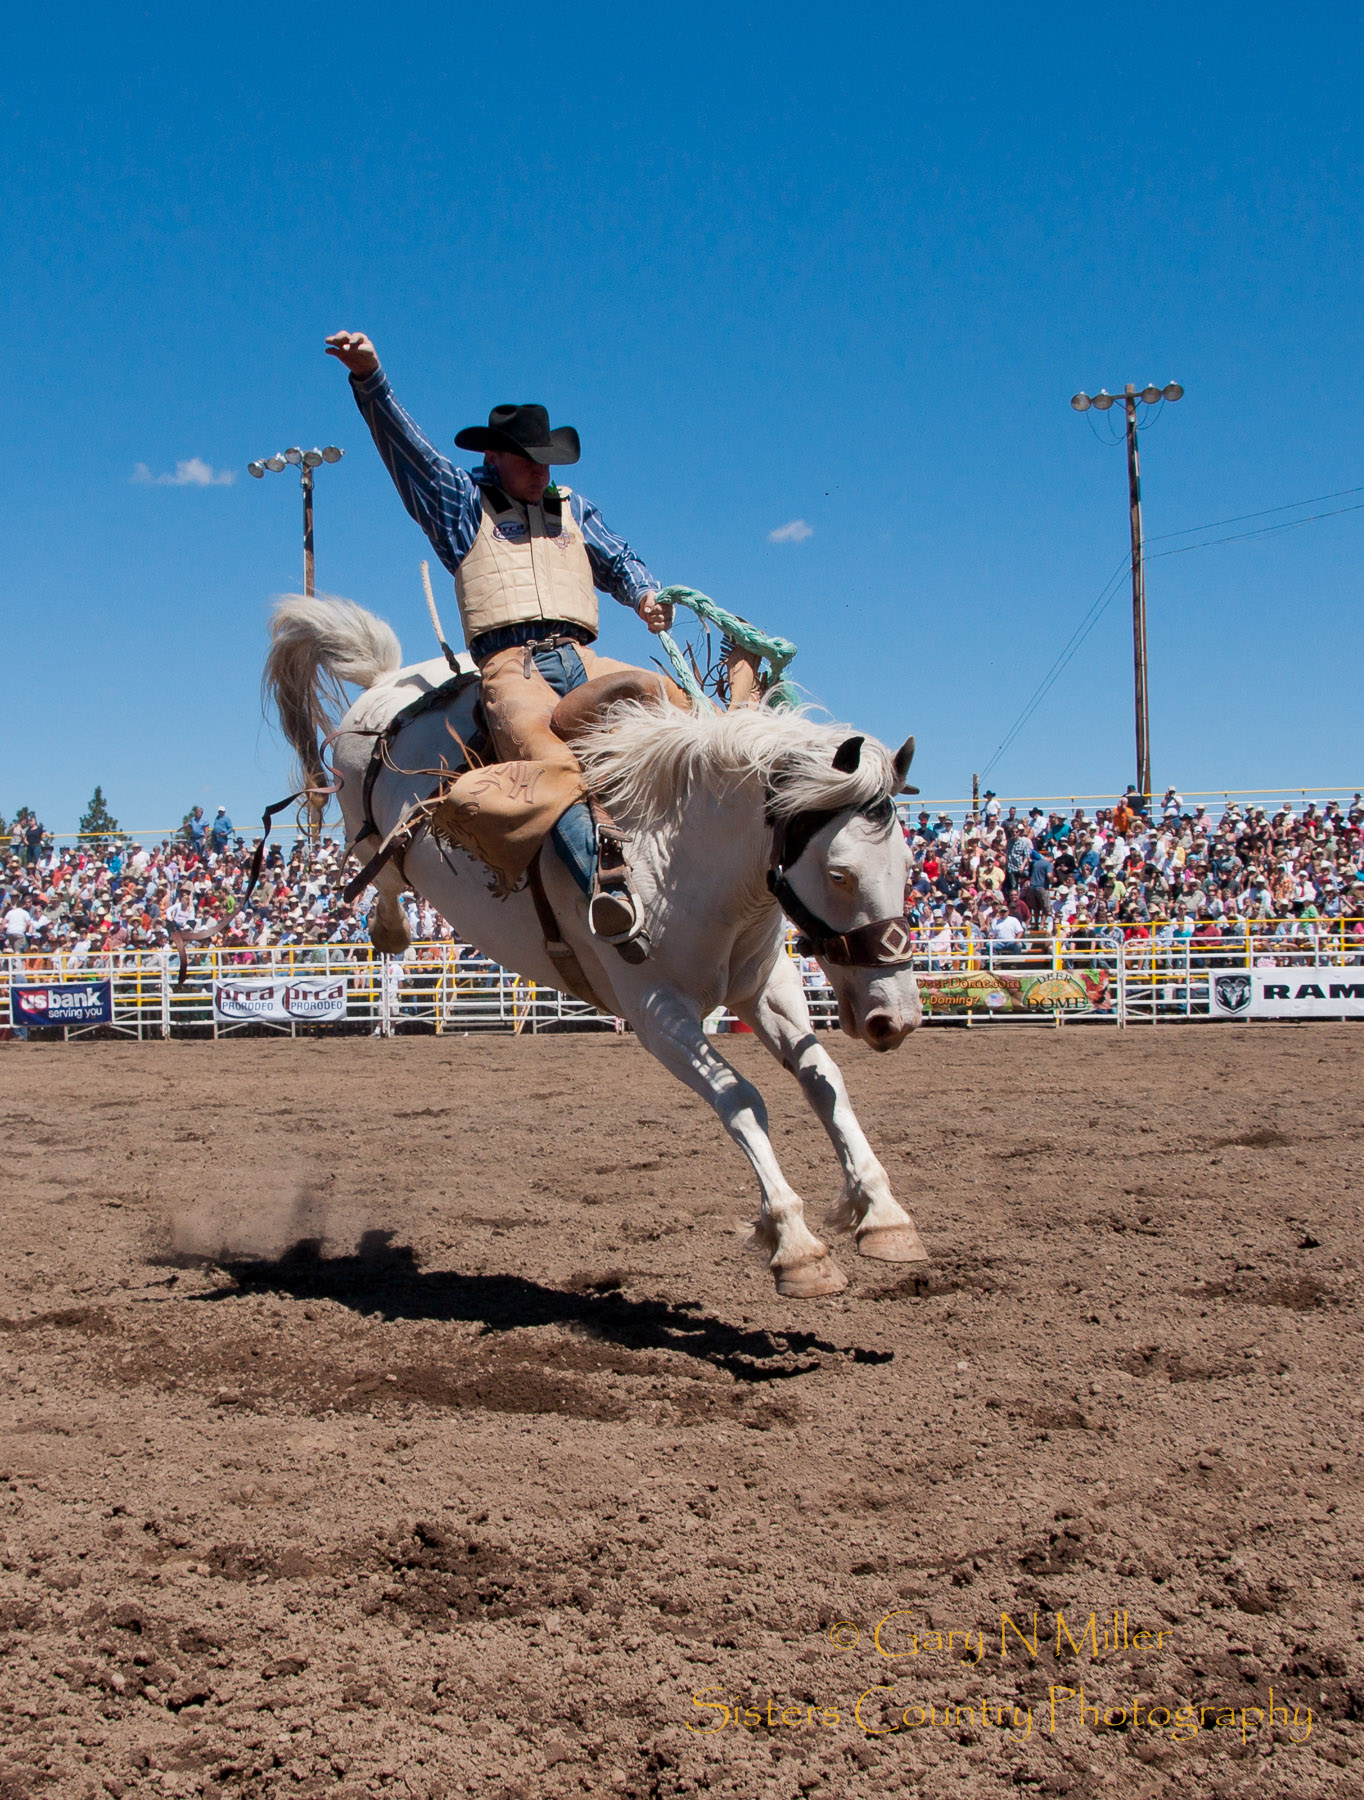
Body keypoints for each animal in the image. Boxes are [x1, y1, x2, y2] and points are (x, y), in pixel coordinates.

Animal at [264, 597, 928, 1303]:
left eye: (909, 865)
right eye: (839, 874)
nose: (896, 1018)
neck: (677, 852)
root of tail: (386, 681)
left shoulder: (765, 988)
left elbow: (823, 1079)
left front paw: (883, 1215)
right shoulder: (655, 1012)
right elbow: (741, 1099)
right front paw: (795, 1245)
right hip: (374, 837)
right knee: (382, 872)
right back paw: (390, 930)